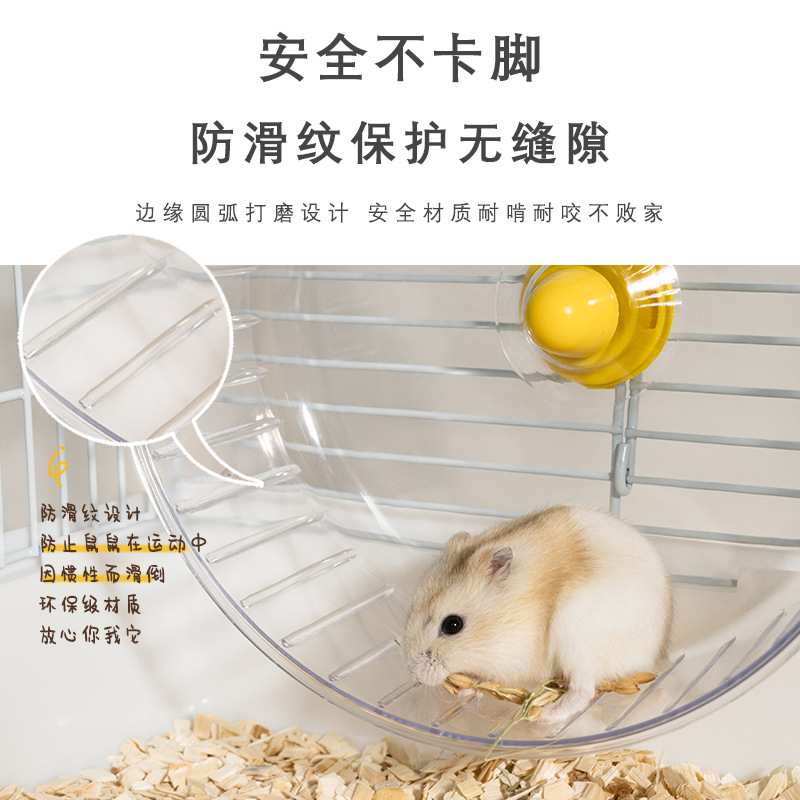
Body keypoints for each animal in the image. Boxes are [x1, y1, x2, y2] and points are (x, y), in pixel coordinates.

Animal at [402, 505, 673, 723]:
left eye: (453, 625)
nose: (413, 672)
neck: (508, 616)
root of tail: (657, 656)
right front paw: (467, 689)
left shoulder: (516, 658)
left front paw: (469, 687)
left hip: (578, 641)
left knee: (583, 689)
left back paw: (546, 715)